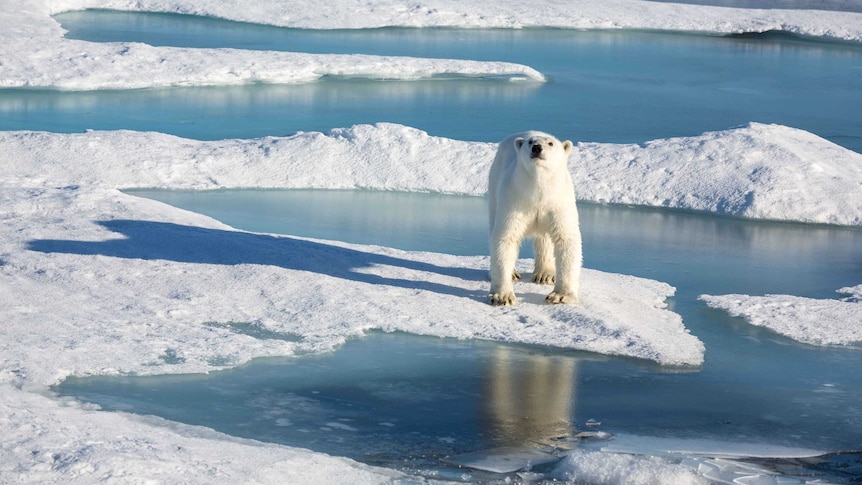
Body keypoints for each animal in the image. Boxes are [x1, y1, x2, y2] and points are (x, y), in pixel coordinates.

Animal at [490, 131, 584, 306]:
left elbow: (566, 238)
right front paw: (502, 296)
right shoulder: (514, 199)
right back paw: (512, 273)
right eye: (530, 142)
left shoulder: (558, 202)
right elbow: (506, 238)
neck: (538, 192)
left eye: (551, 143)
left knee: (544, 239)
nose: (537, 148)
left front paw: (561, 296)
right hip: (494, 183)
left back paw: (545, 274)